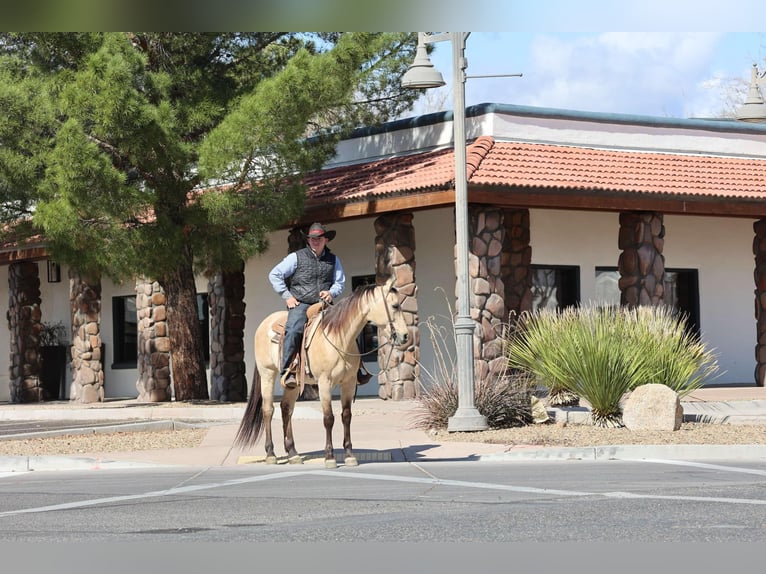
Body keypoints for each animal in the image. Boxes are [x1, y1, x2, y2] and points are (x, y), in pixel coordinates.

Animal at [234, 275, 410, 468]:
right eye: (395, 306)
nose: (405, 336)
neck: (338, 337)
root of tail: (264, 324)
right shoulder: (324, 383)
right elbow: (328, 418)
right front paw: (329, 457)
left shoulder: (348, 383)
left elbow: (346, 416)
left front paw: (349, 455)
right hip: (267, 374)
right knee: (268, 410)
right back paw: (271, 454)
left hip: (294, 384)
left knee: (286, 409)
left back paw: (293, 453)